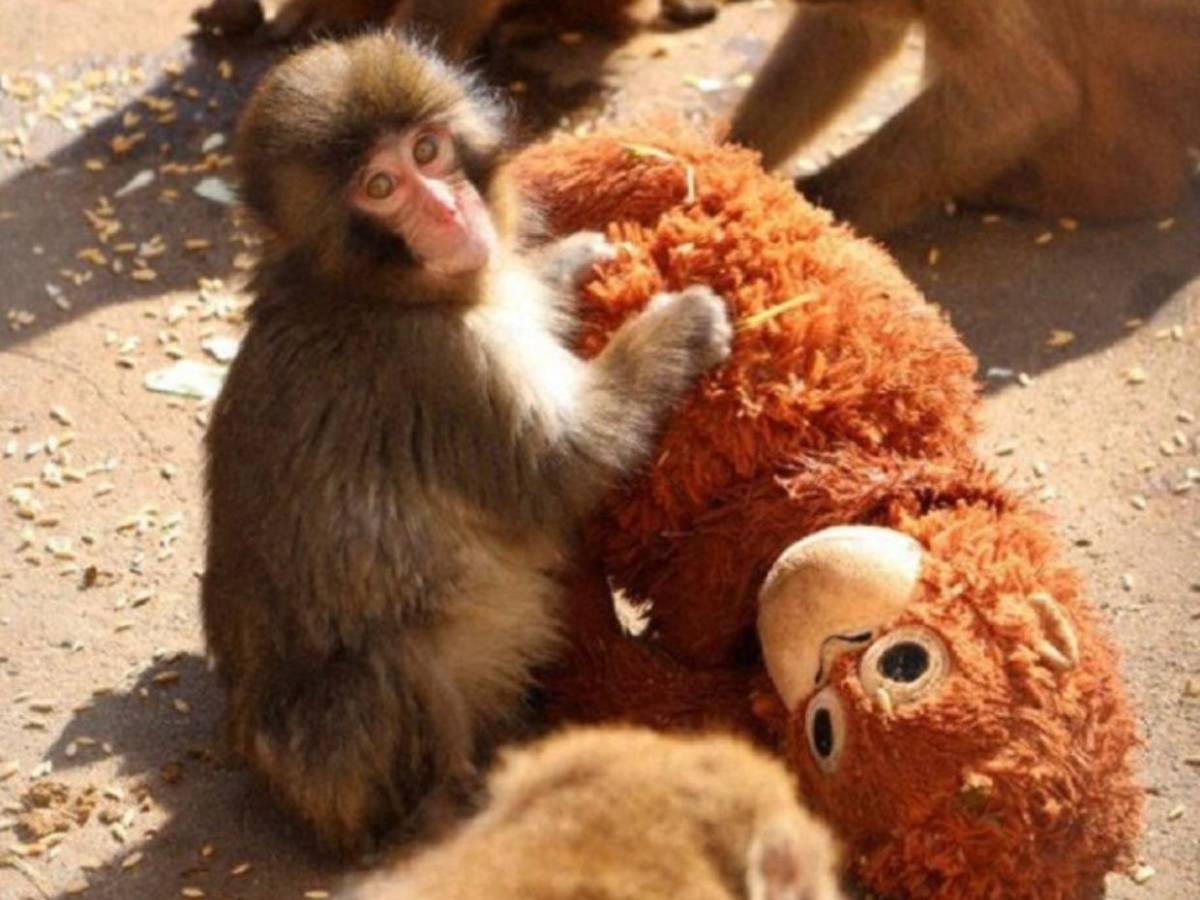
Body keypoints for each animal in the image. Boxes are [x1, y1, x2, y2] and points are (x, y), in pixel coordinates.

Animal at [203, 32, 733, 855]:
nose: (449, 208)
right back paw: (450, 804)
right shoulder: (441, 368)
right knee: (386, 665)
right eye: (381, 186)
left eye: (428, 150)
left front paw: (567, 262)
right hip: (338, 766)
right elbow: (562, 467)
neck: (375, 291)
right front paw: (677, 329)